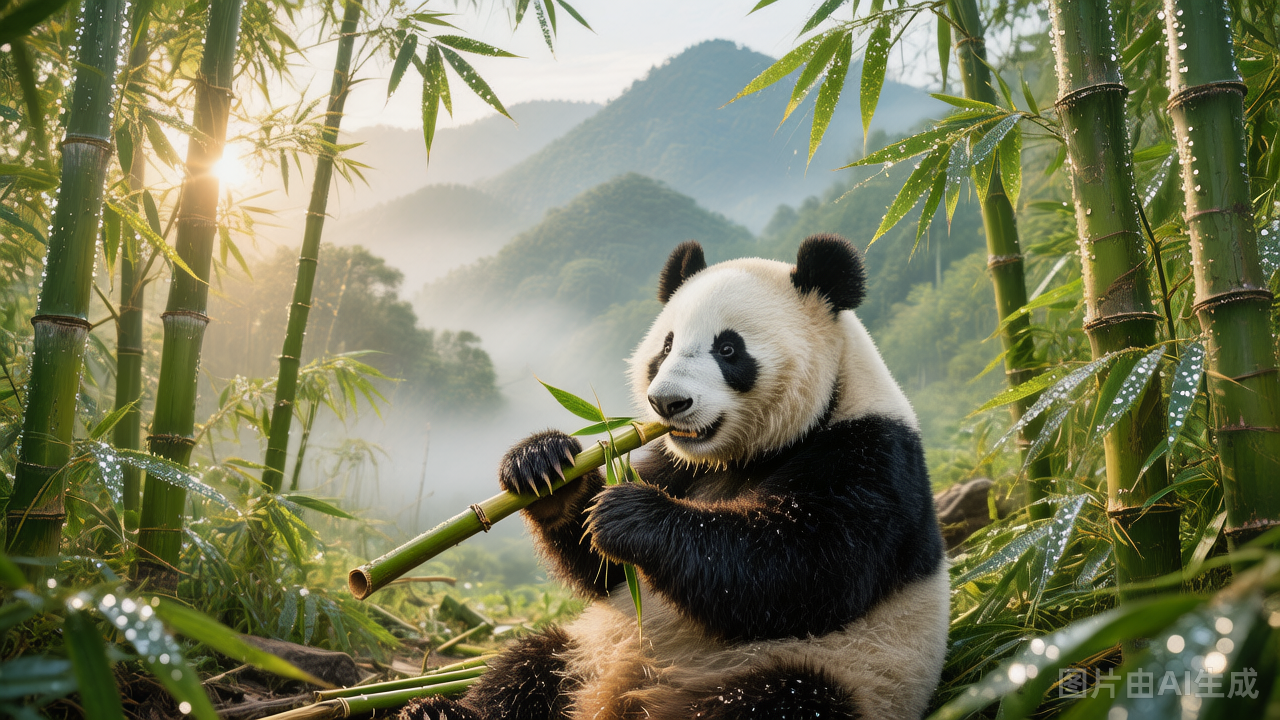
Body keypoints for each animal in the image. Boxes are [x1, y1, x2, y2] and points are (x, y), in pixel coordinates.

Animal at [403, 234, 949, 720]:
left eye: (728, 349)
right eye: (665, 347)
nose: (668, 403)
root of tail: (615, 702)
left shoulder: (871, 457)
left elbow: (803, 568)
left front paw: (630, 517)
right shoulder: (677, 464)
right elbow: (601, 573)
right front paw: (543, 464)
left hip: (825, 672)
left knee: (779, 701)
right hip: (585, 650)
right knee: (526, 668)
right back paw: (436, 711)